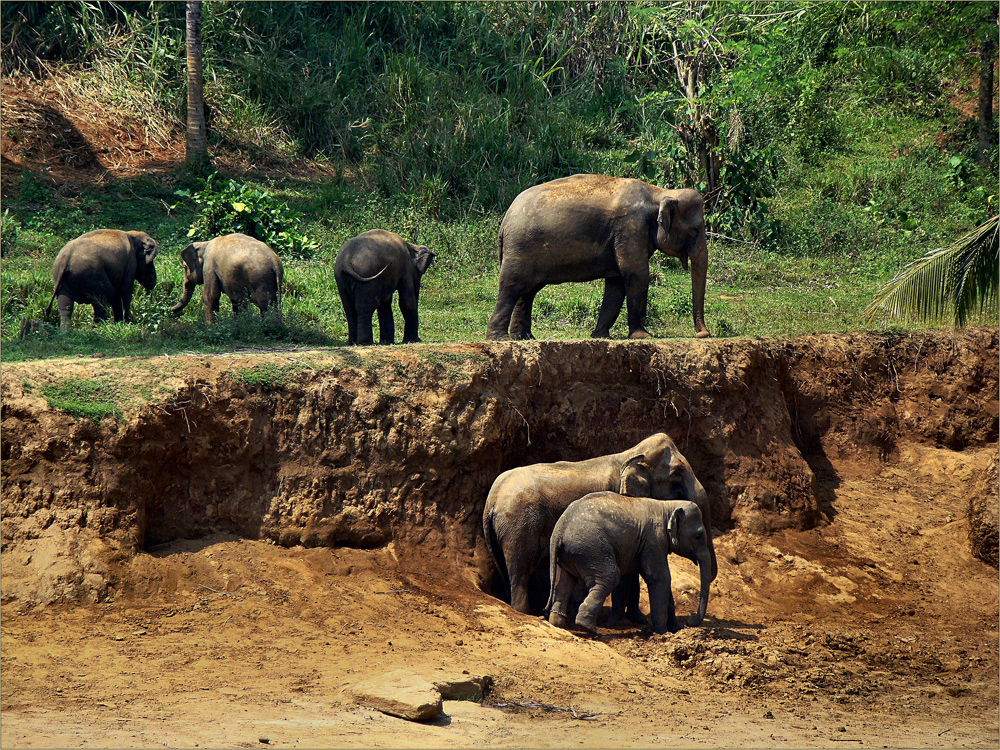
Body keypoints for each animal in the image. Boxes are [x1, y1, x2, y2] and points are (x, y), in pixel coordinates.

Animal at [480, 432, 716, 620]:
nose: (692, 619)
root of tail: (491, 500)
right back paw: (526, 613)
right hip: (519, 526)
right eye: (677, 474)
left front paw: (637, 619)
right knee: (521, 571)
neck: (630, 455)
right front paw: (633, 620)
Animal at [486, 173, 712, 340]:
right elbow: (636, 275)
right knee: (511, 286)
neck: (659, 193)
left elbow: (616, 283)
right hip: (520, 247)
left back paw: (524, 338)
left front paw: (600, 336)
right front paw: (643, 337)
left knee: (528, 291)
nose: (703, 334)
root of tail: (505, 220)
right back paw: (499, 338)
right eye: (694, 231)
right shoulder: (630, 228)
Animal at [548, 496, 712, 636]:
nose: (689, 621)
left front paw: (676, 629)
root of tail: (559, 529)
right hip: (591, 548)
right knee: (610, 577)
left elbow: (663, 582)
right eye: (698, 536)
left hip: (571, 553)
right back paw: (587, 628)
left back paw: (558, 623)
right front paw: (662, 633)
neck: (666, 506)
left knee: (565, 582)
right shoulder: (654, 540)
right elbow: (660, 578)